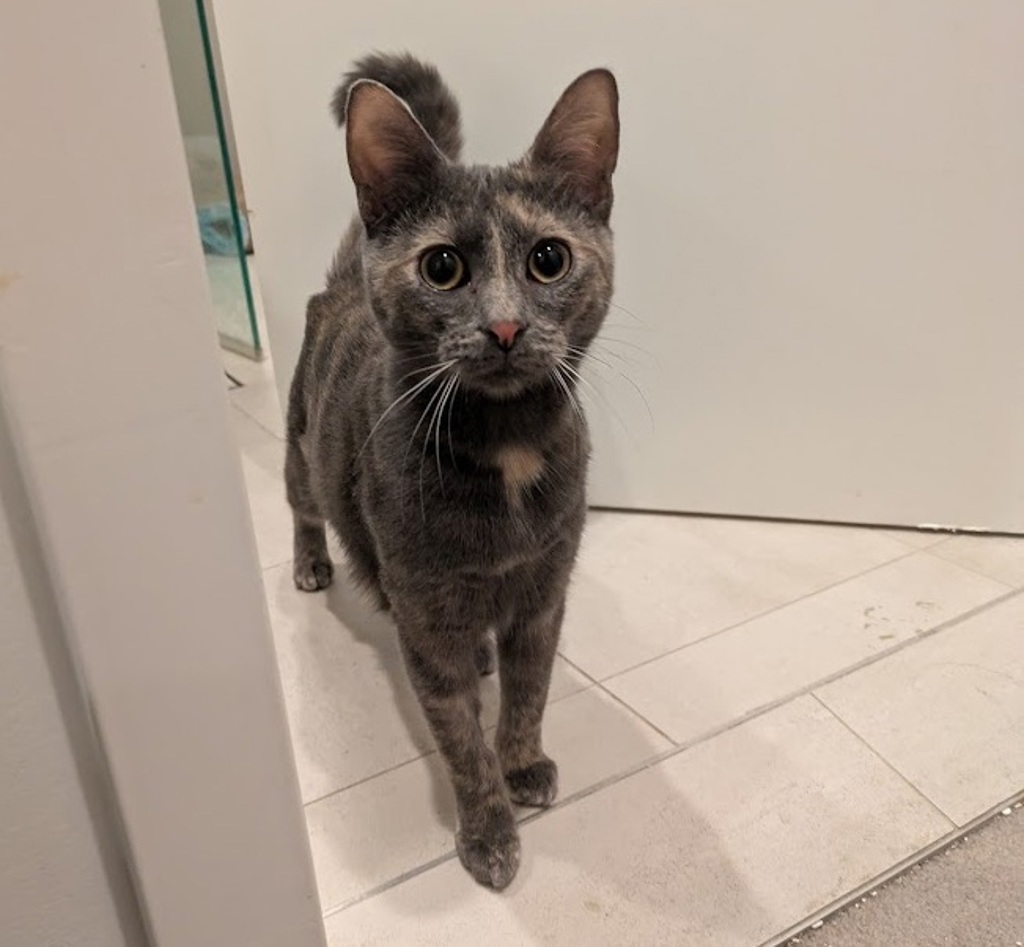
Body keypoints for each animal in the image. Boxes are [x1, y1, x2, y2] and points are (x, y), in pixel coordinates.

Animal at [285, 53, 619, 890]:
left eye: (548, 259)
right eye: (442, 267)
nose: (503, 325)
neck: (508, 448)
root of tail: (343, 283)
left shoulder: (545, 587)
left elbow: (530, 689)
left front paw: (523, 762)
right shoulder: (426, 611)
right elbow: (460, 737)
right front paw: (490, 831)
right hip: (303, 449)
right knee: (302, 503)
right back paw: (310, 562)